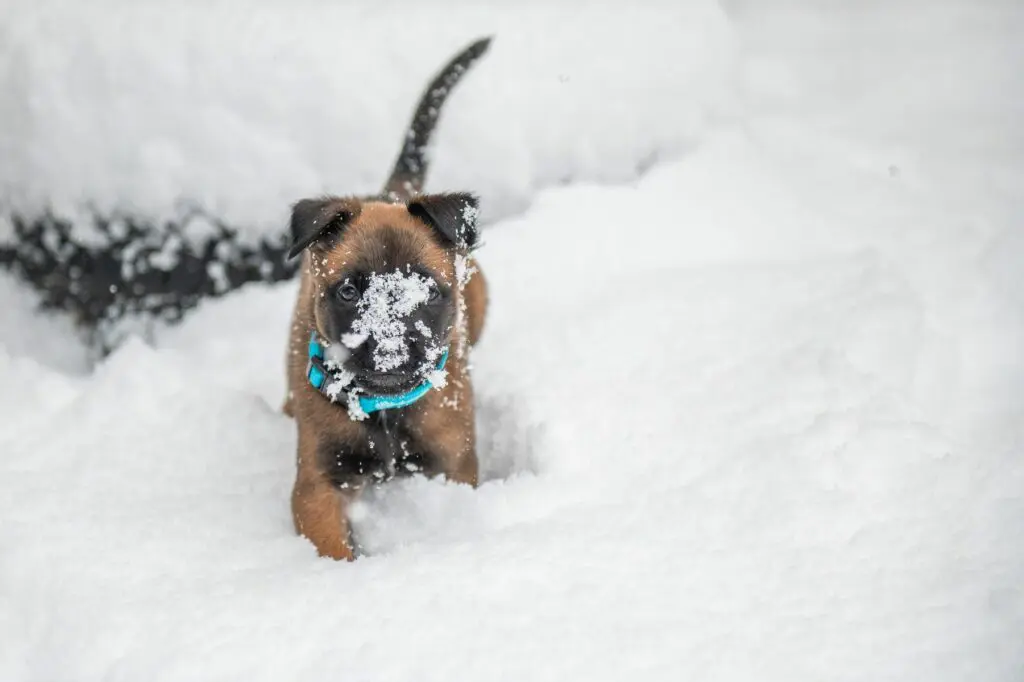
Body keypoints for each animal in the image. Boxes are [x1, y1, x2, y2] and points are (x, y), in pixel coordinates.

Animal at [280, 37, 487, 557]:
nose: (390, 350)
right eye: (349, 290)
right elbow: (334, 548)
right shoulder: (316, 488)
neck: (387, 414)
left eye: (426, 290)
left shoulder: (454, 466)